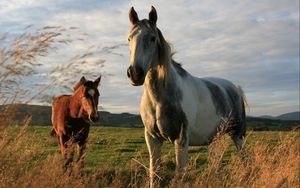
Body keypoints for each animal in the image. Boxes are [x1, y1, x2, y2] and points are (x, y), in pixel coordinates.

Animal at [126, 5, 246, 187]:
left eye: (152, 38)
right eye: (129, 39)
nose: (135, 73)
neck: (158, 100)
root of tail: (235, 88)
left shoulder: (181, 139)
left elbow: (179, 174)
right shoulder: (152, 139)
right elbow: (154, 173)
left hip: (238, 135)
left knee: (244, 159)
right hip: (214, 139)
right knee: (216, 164)